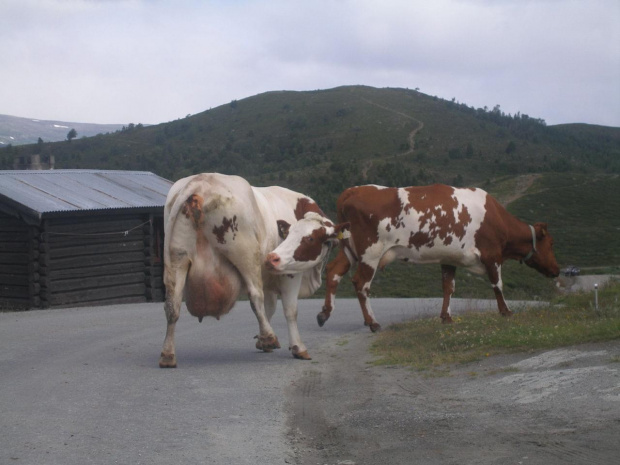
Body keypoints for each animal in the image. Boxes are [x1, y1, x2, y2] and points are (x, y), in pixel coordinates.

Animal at [161, 171, 334, 366]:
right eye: (292, 236)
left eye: (310, 238)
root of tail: (200, 181)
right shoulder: (289, 273)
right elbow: (290, 310)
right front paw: (297, 347)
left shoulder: (269, 278)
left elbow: (270, 307)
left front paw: (260, 341)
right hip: (245, 254)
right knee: (255, 295)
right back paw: (269, 337)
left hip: (177, 260)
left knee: (172, 305)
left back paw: (167, 355)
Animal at [274, 183, 560, 332]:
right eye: (551, 243)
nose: (557, 270)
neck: (496, 217)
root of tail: (353, 190)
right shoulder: (492, 255)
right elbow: (497, 285)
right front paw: (506, 312)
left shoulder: (449, 258)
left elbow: (448, 287)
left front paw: (446, 317)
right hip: (371, 252)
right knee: (361, 284)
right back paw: (372, 322)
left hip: (350, 249)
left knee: (334, 272)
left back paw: (325, 314)